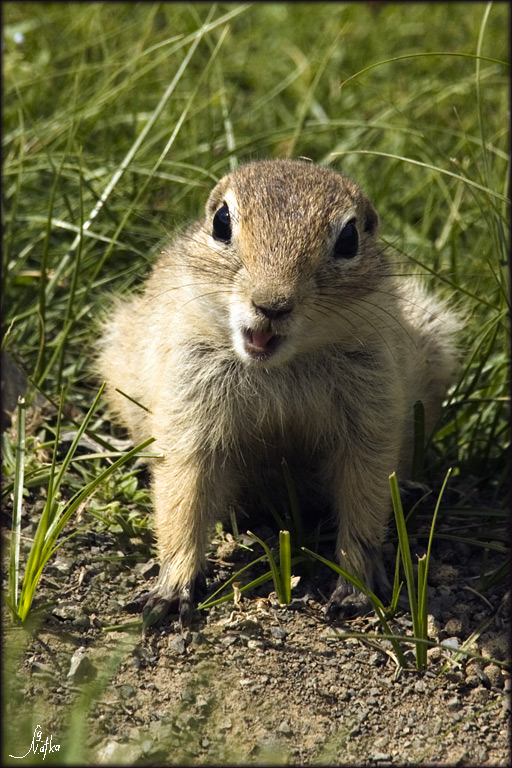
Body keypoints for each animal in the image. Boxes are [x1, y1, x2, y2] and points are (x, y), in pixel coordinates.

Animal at [96, 159, 460, 628]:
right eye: (221, 222)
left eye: (349, 239)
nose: (271, 304)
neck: (277, 368)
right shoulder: (189, 408)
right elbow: (183, 496)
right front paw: (172, 588)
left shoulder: (371, 415)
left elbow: (365, 497)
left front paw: (355, 586)